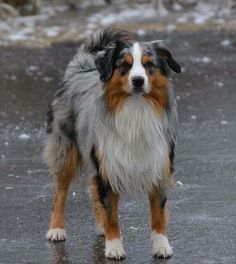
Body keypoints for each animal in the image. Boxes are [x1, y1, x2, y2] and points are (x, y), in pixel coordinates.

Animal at [43, 26, 181, 260]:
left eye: (149, 65)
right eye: (124, 65)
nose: (138, 81)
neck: (136, 108)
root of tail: (80, 67)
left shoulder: (159, 165)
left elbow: (158, 211)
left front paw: (161, 245)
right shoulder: (107, 165)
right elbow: (112, 213)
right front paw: (114, 246)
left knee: (92, 191)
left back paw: (101, 227)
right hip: (65, 150)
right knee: (60, 192)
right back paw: (56, 229)